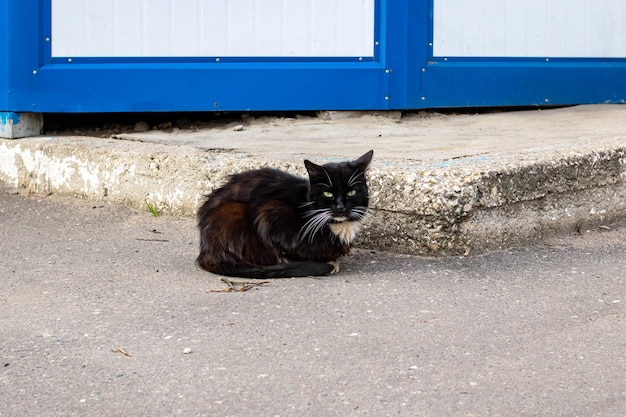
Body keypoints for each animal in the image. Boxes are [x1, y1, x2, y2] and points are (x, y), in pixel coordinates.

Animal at [195, 151, 370, 278]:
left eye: (352, 192)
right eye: (328, 193)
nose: (341, 208)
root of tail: (205, 250)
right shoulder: (270, 212)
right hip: (233, 211)